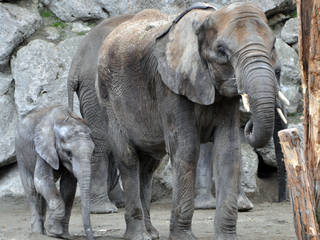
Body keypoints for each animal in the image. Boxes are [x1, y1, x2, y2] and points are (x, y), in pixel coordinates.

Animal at [15, 105, 94, 240]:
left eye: (92, 152)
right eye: (69, 153)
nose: (92, 236)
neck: (62, 118)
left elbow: (68, 187)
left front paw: (63, 235)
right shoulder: (43, 147)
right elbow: (41, 180)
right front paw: (54, 231)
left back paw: (43, 233)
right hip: (21, 154)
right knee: (31, 190)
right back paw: (37, 234)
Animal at [96, 2, 288, 240]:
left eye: (273, 46)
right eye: (222, 51)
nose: (249, 124)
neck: (206, 18)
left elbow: (228, 150)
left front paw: (226, 237)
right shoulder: (169, 85)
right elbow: (186, 149)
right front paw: (183, 237)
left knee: (148, 166)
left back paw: (152, 233)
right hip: (108, 99)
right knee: (128, 158)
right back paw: (139, 236)